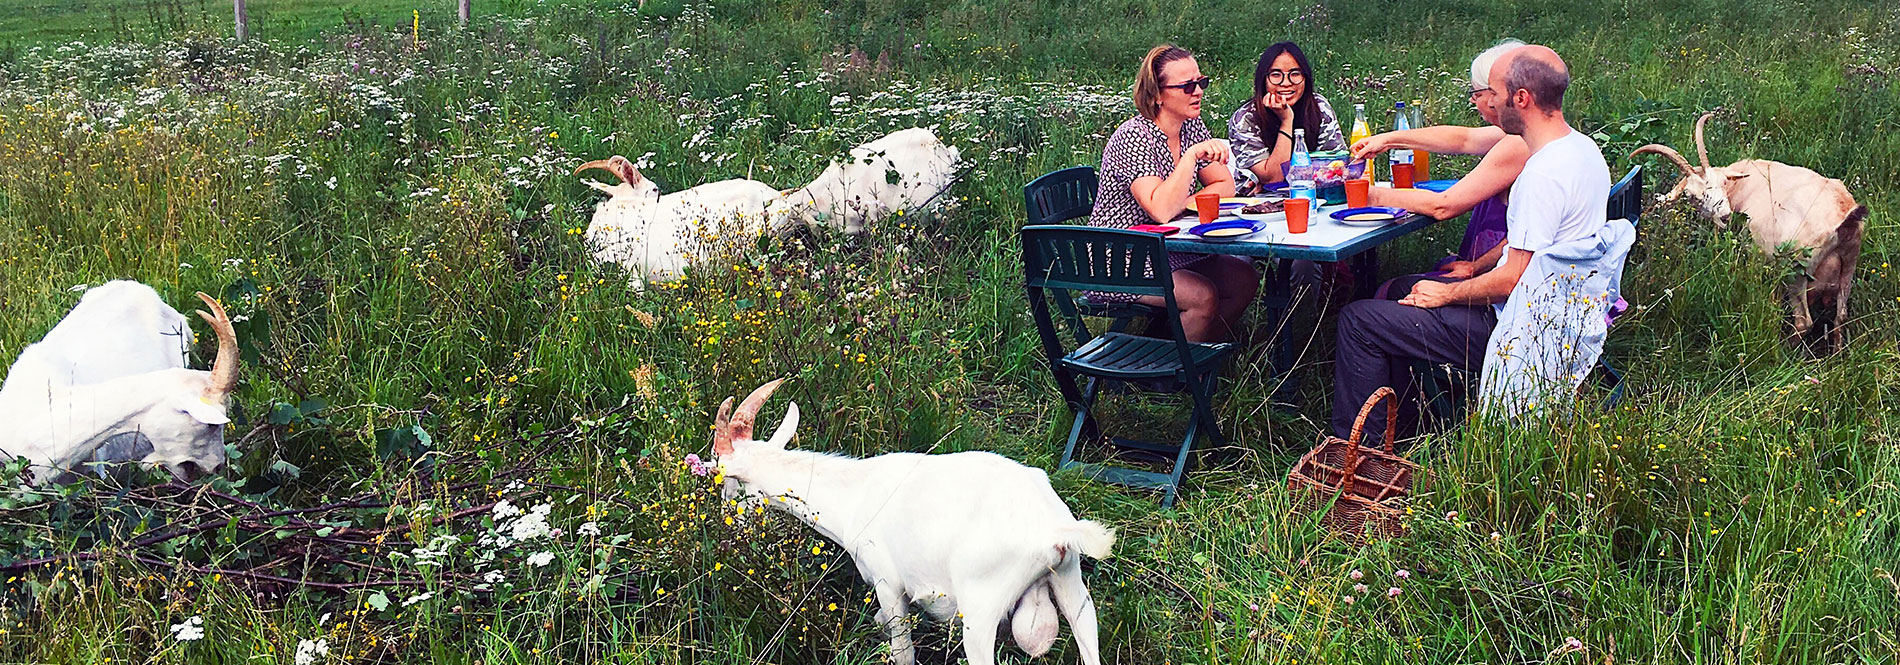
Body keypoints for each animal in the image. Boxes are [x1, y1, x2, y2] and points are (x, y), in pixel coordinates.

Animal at [718, 380, 1117, 665]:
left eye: (728, 481)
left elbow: (903, 651)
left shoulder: (887, 582)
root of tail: (1054, 531)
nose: (727, 525)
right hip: (1072, 586)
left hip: (980, 609)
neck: (854, 495)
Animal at [1634, 113, 1869, 353]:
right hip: (1848, 267)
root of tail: (1844, 218)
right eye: (1691, 195)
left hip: (1795, 270)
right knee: (1840, 317)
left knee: (1804, 321)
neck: (1739, 187)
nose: (1725, 216)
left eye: (1723, 182)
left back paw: (1785, 351)